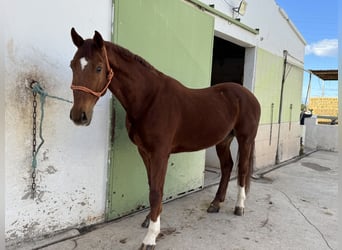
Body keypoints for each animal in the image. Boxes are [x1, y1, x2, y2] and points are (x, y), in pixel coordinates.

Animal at [69, 28, 260, 249]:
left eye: (99, 68)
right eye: (72, 65)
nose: (79, 116)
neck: (148, 100)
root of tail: (249, 95)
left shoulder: (160, 154)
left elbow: (156, 192)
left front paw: (150, 237)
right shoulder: (144, 152)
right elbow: (152, 185)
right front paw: (149, 220)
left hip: (245, 139)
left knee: (242, 169)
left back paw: (239, 206)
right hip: (223, 140)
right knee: (227, 166)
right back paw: (215, 203)